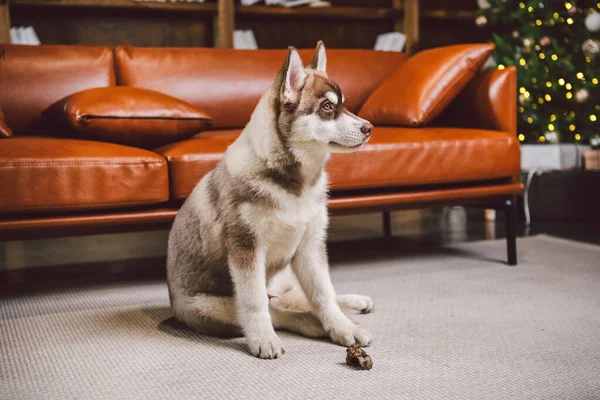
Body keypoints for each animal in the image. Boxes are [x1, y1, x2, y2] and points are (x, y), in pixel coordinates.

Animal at [169, 41, 372, 360]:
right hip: (211, 306)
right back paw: (310, 323)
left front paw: (342, 326)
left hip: (286, 272)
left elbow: (323, 293)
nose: (369, 128)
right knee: (276, 308)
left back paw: (351, 304)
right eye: (327, 107)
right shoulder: (246, 249)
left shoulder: (310, 246)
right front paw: (264, 340)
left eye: (344, 105)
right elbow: (256, 303)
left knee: (294, 298)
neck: (295, 185)